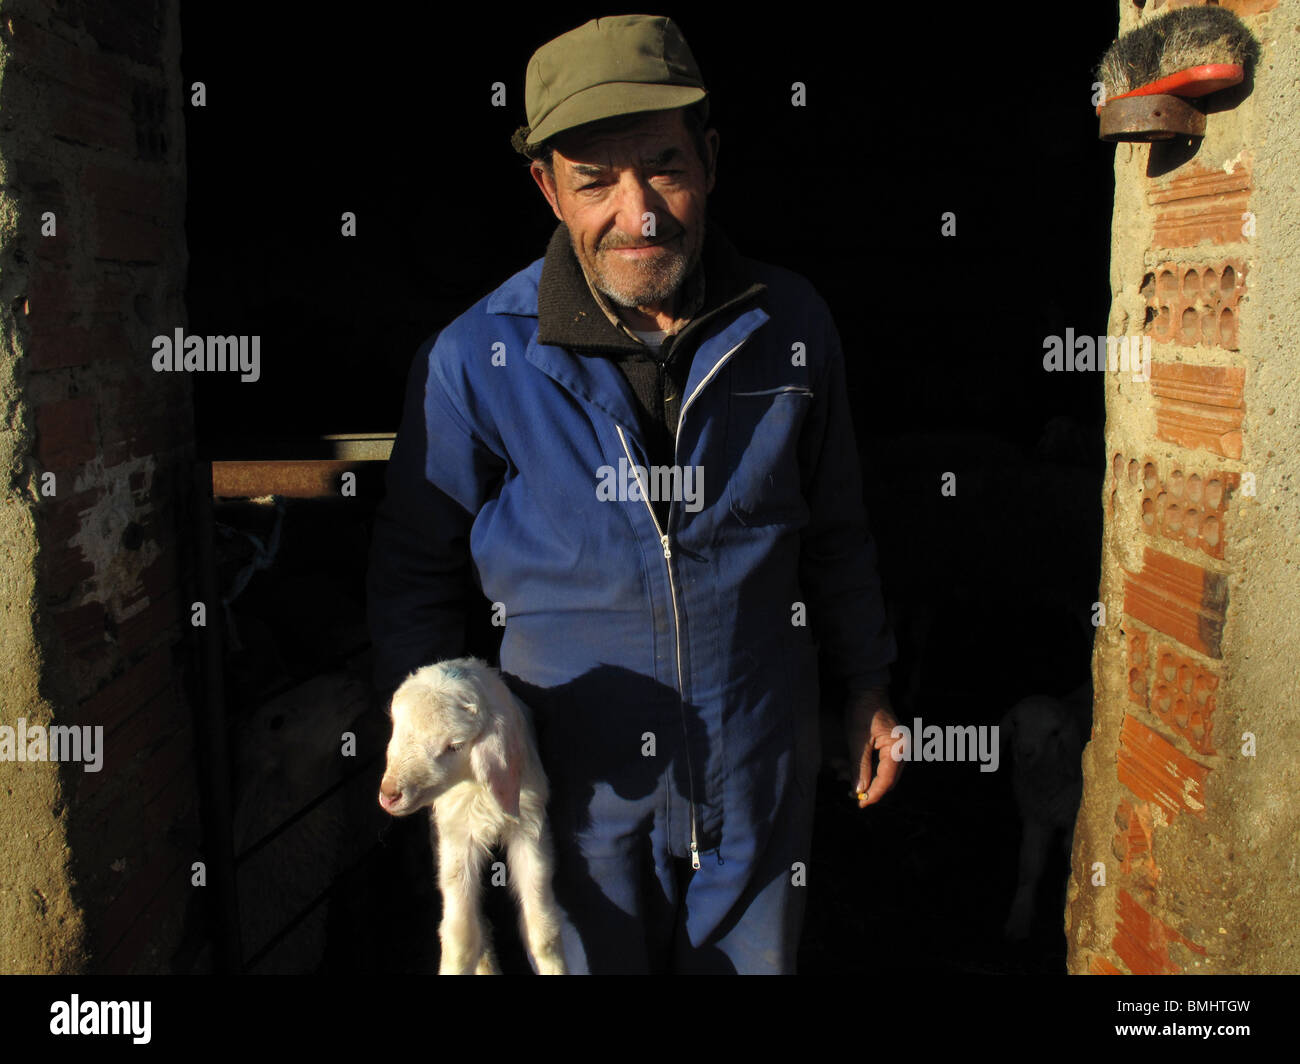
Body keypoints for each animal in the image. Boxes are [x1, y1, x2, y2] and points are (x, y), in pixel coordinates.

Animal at [371, 655, 564, 967]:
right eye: (396, 726)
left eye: (455, 746)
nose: (390, 794)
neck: (477, 790)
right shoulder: (457, 835)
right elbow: (461, 940)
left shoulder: (529, 827)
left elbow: (542, 932)